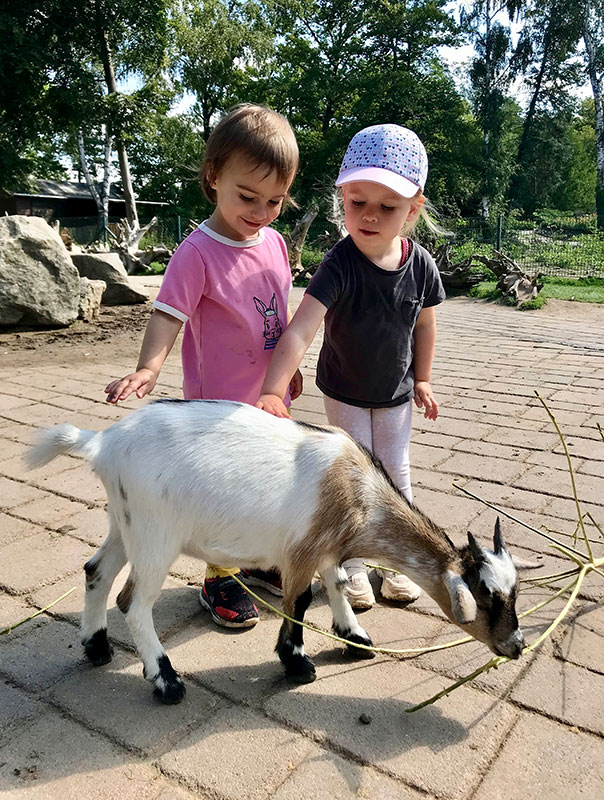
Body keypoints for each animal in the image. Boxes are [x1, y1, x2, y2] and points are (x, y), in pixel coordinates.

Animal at [27, 398, 524, 700]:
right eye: (485, 597)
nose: (517, 646)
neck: (358, 490)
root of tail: (101, 443)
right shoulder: (301, 551)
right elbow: (300, 600)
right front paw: (297, 663)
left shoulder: (327, 549)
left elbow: (337, 584)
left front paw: (355, 638)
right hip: (154, 534)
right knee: (133, 602)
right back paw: (166, 680)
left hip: (123, 521)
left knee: (96, 571)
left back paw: (96, 648)